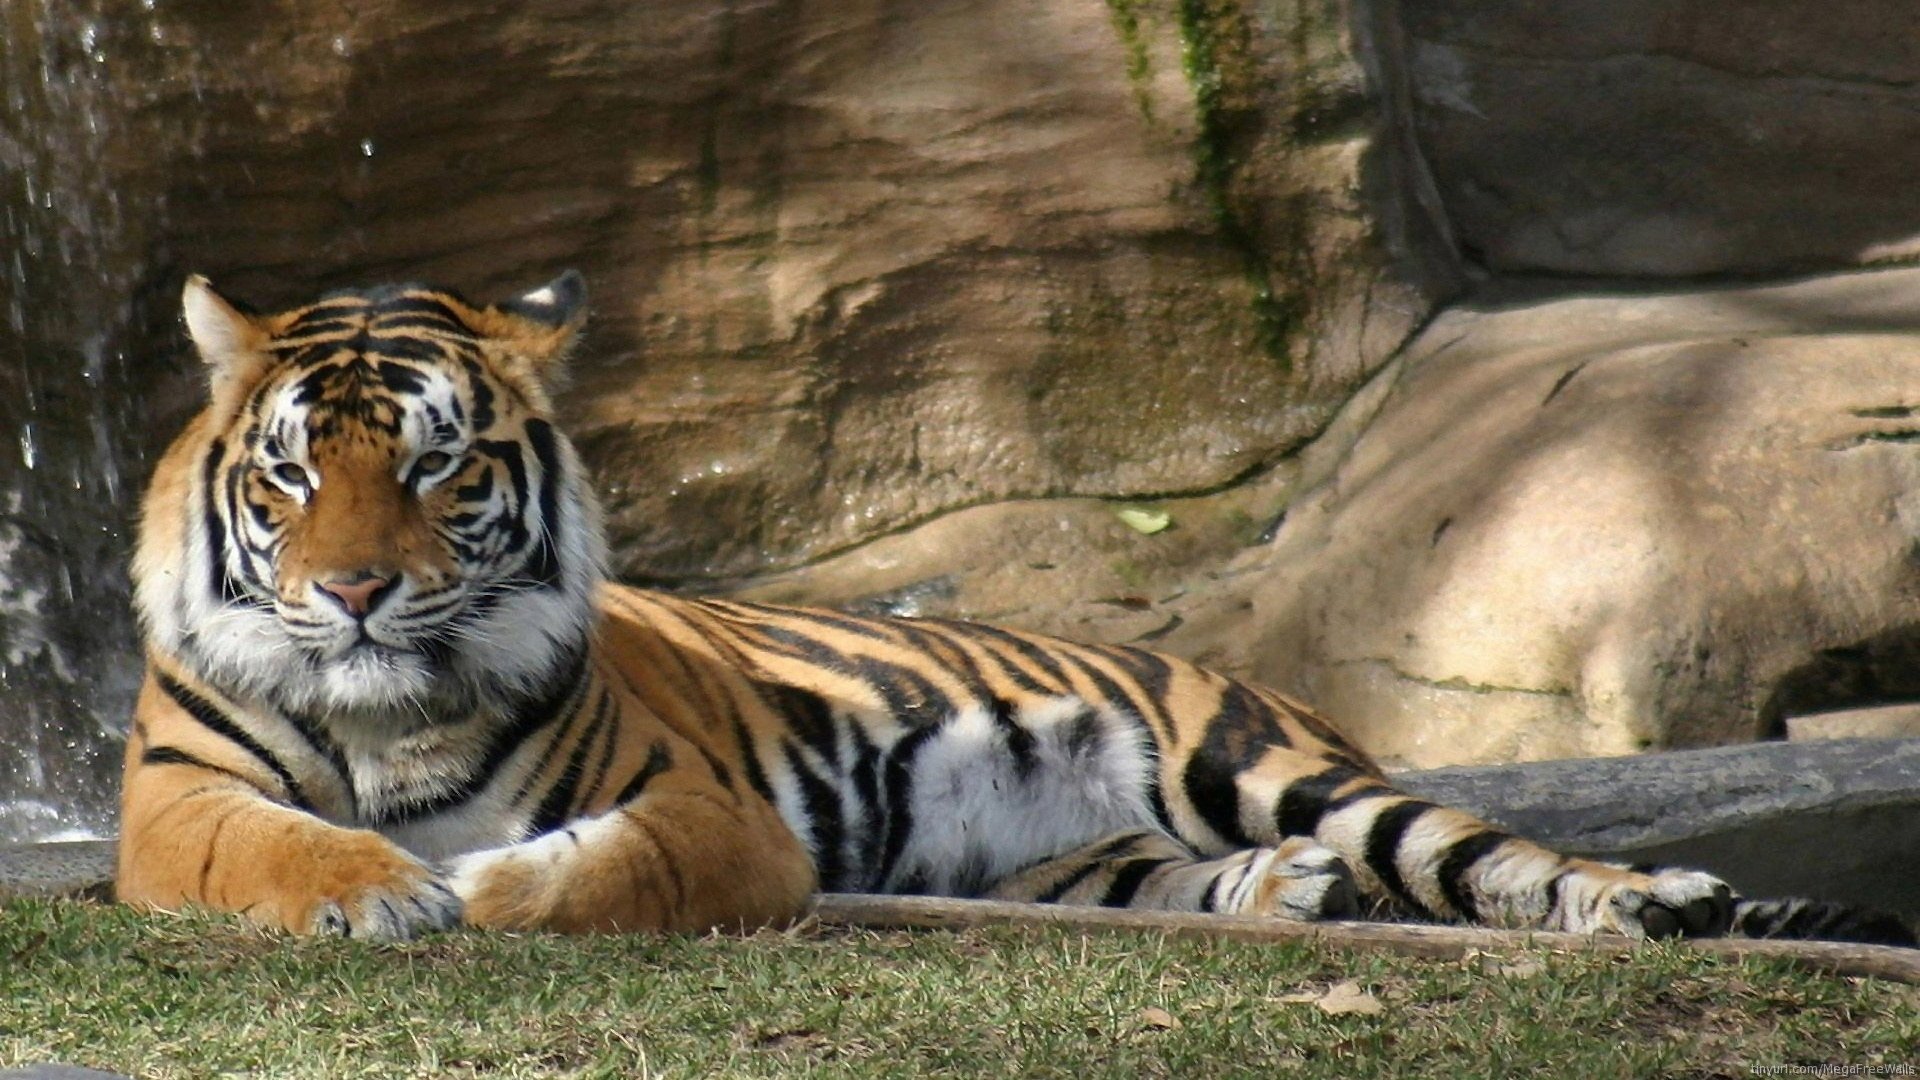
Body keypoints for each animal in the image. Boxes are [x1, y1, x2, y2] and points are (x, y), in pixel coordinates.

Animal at [115, 271, 1915, 948]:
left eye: (435, 466)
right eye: (291, 475)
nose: (354, 592)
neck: (390, 708)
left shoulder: (695, 811)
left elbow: (584, 867)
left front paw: (476, 885)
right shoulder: (172, 805)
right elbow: (274, 849)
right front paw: (378, 891)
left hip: (1264, 760)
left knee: (1495, 856)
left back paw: (1650, 902)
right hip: (1082, 854)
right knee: (1195, 879)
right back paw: (1288, 896)